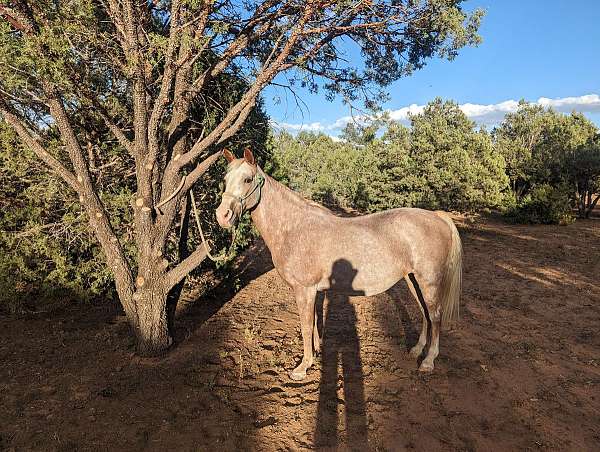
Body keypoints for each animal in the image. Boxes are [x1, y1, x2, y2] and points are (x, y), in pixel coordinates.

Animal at [217, 148, 464, 382]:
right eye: (225, 178)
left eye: (247, 179)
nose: (222, 216)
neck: (294, 227)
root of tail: (437, 216)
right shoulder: (313, 291)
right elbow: (315, 322)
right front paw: (315, 354)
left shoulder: (304, 290)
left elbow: (306, 326)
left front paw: (302, 368)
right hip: (413, 279)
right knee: (425, 313)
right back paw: (416, 351)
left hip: (429, 281)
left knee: (435, 315)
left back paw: (428, 361)